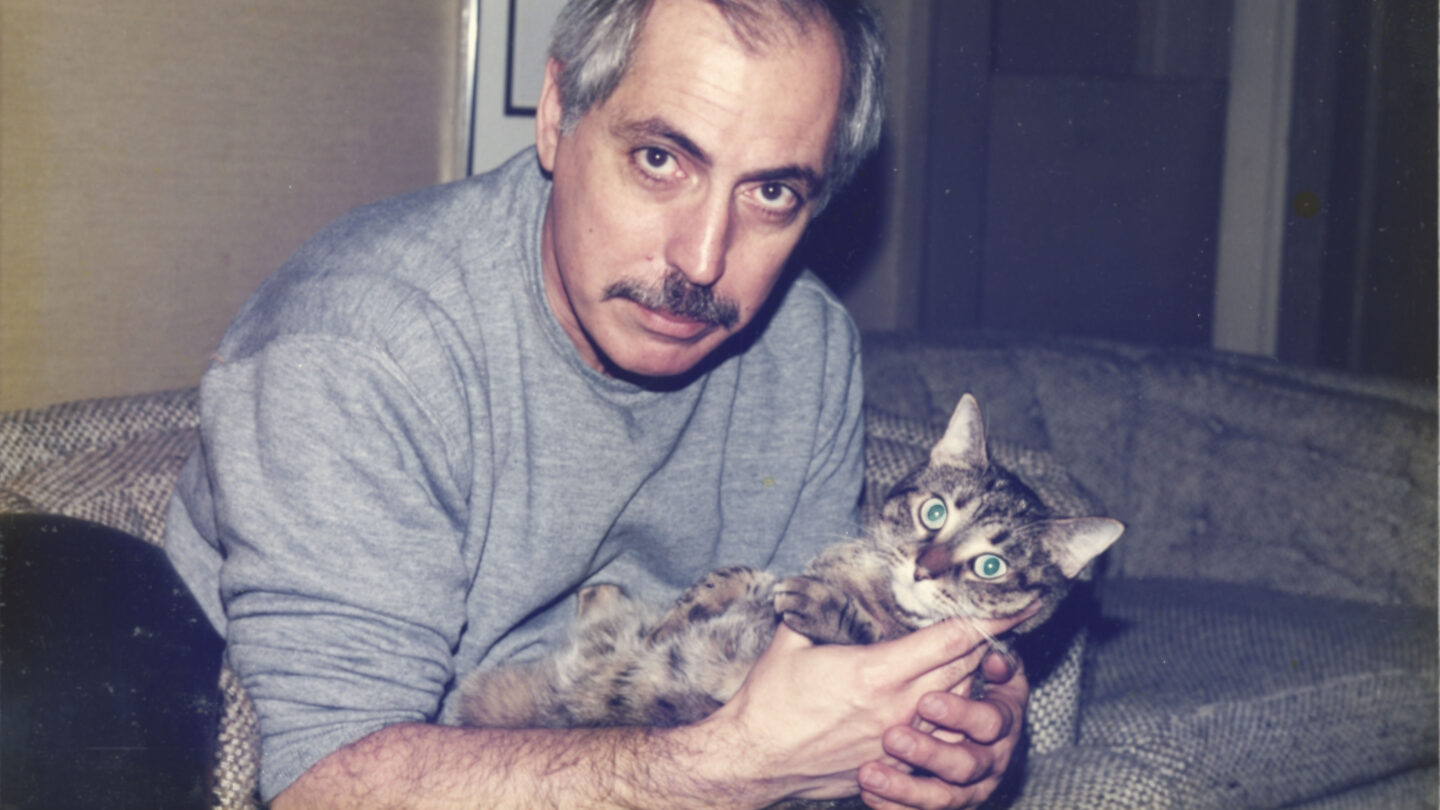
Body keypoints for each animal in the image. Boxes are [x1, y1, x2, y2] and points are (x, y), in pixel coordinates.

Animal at [460, 392, 1123, 726]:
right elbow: (738, 574)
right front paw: (679, 614)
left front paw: (825, 608)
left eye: (991, 566)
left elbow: (869, 636)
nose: (924, 567)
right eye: (935, 513)